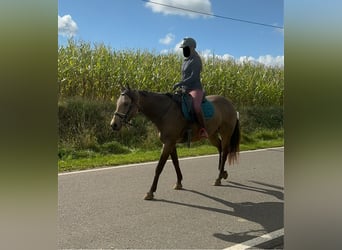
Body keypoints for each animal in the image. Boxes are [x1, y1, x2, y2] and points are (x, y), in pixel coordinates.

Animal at [111, 87, 239, 200]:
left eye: (126, 103)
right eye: (117, 103)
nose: (113, 125)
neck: (165, 112)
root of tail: (230, 104)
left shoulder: (168, 143)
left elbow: (159, 167)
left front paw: (151, 192)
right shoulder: (171, 143)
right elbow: (175, 163)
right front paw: (179, 183)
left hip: (226, 133)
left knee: (225, 150)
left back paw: (218, 178)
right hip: (212, 135)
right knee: (220, 147)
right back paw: (222, 173)